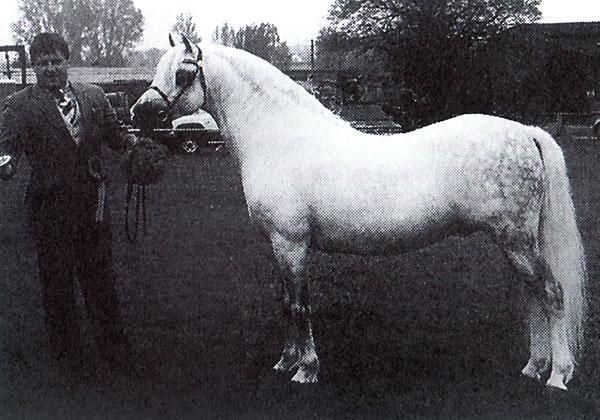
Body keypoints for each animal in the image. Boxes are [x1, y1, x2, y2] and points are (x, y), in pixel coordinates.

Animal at [131, 36, 584, 390]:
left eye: (183, 74)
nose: (140, 113)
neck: (283, 139)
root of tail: (524, 132)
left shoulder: (292, 244)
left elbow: (300, 306)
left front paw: (306, 370)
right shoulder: (278, 246)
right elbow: (286, 303)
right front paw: (285, 361)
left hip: (516, 240)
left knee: (551, 293)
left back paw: (557, 375)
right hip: (515, 244)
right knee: (533, 295)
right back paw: (533, 367)